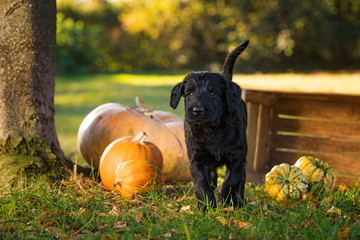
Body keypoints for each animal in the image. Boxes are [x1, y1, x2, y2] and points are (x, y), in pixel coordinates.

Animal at [169, 40, 248, 210]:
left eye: (213, 93)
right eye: (189, 93)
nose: (197, 110)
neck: (211, 130)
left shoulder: (237, 157)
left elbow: (232, 180)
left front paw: (225, 199)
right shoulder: (197, 159)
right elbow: (201, 184)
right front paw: (207, 207)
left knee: (242, 178)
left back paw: (239, 200)